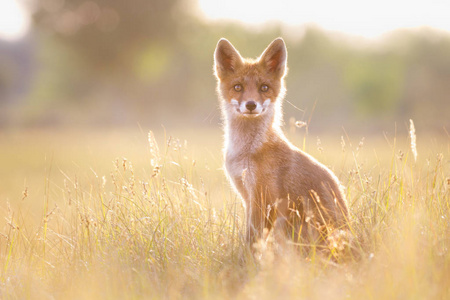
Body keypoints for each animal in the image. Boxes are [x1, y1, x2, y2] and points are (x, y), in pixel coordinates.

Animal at [213, 37, 350, 247]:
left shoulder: (264, 199)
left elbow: (252, 241)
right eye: (238, 87)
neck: (247, 152)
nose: (251, 105)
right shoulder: (248, 198)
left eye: (264, 88)